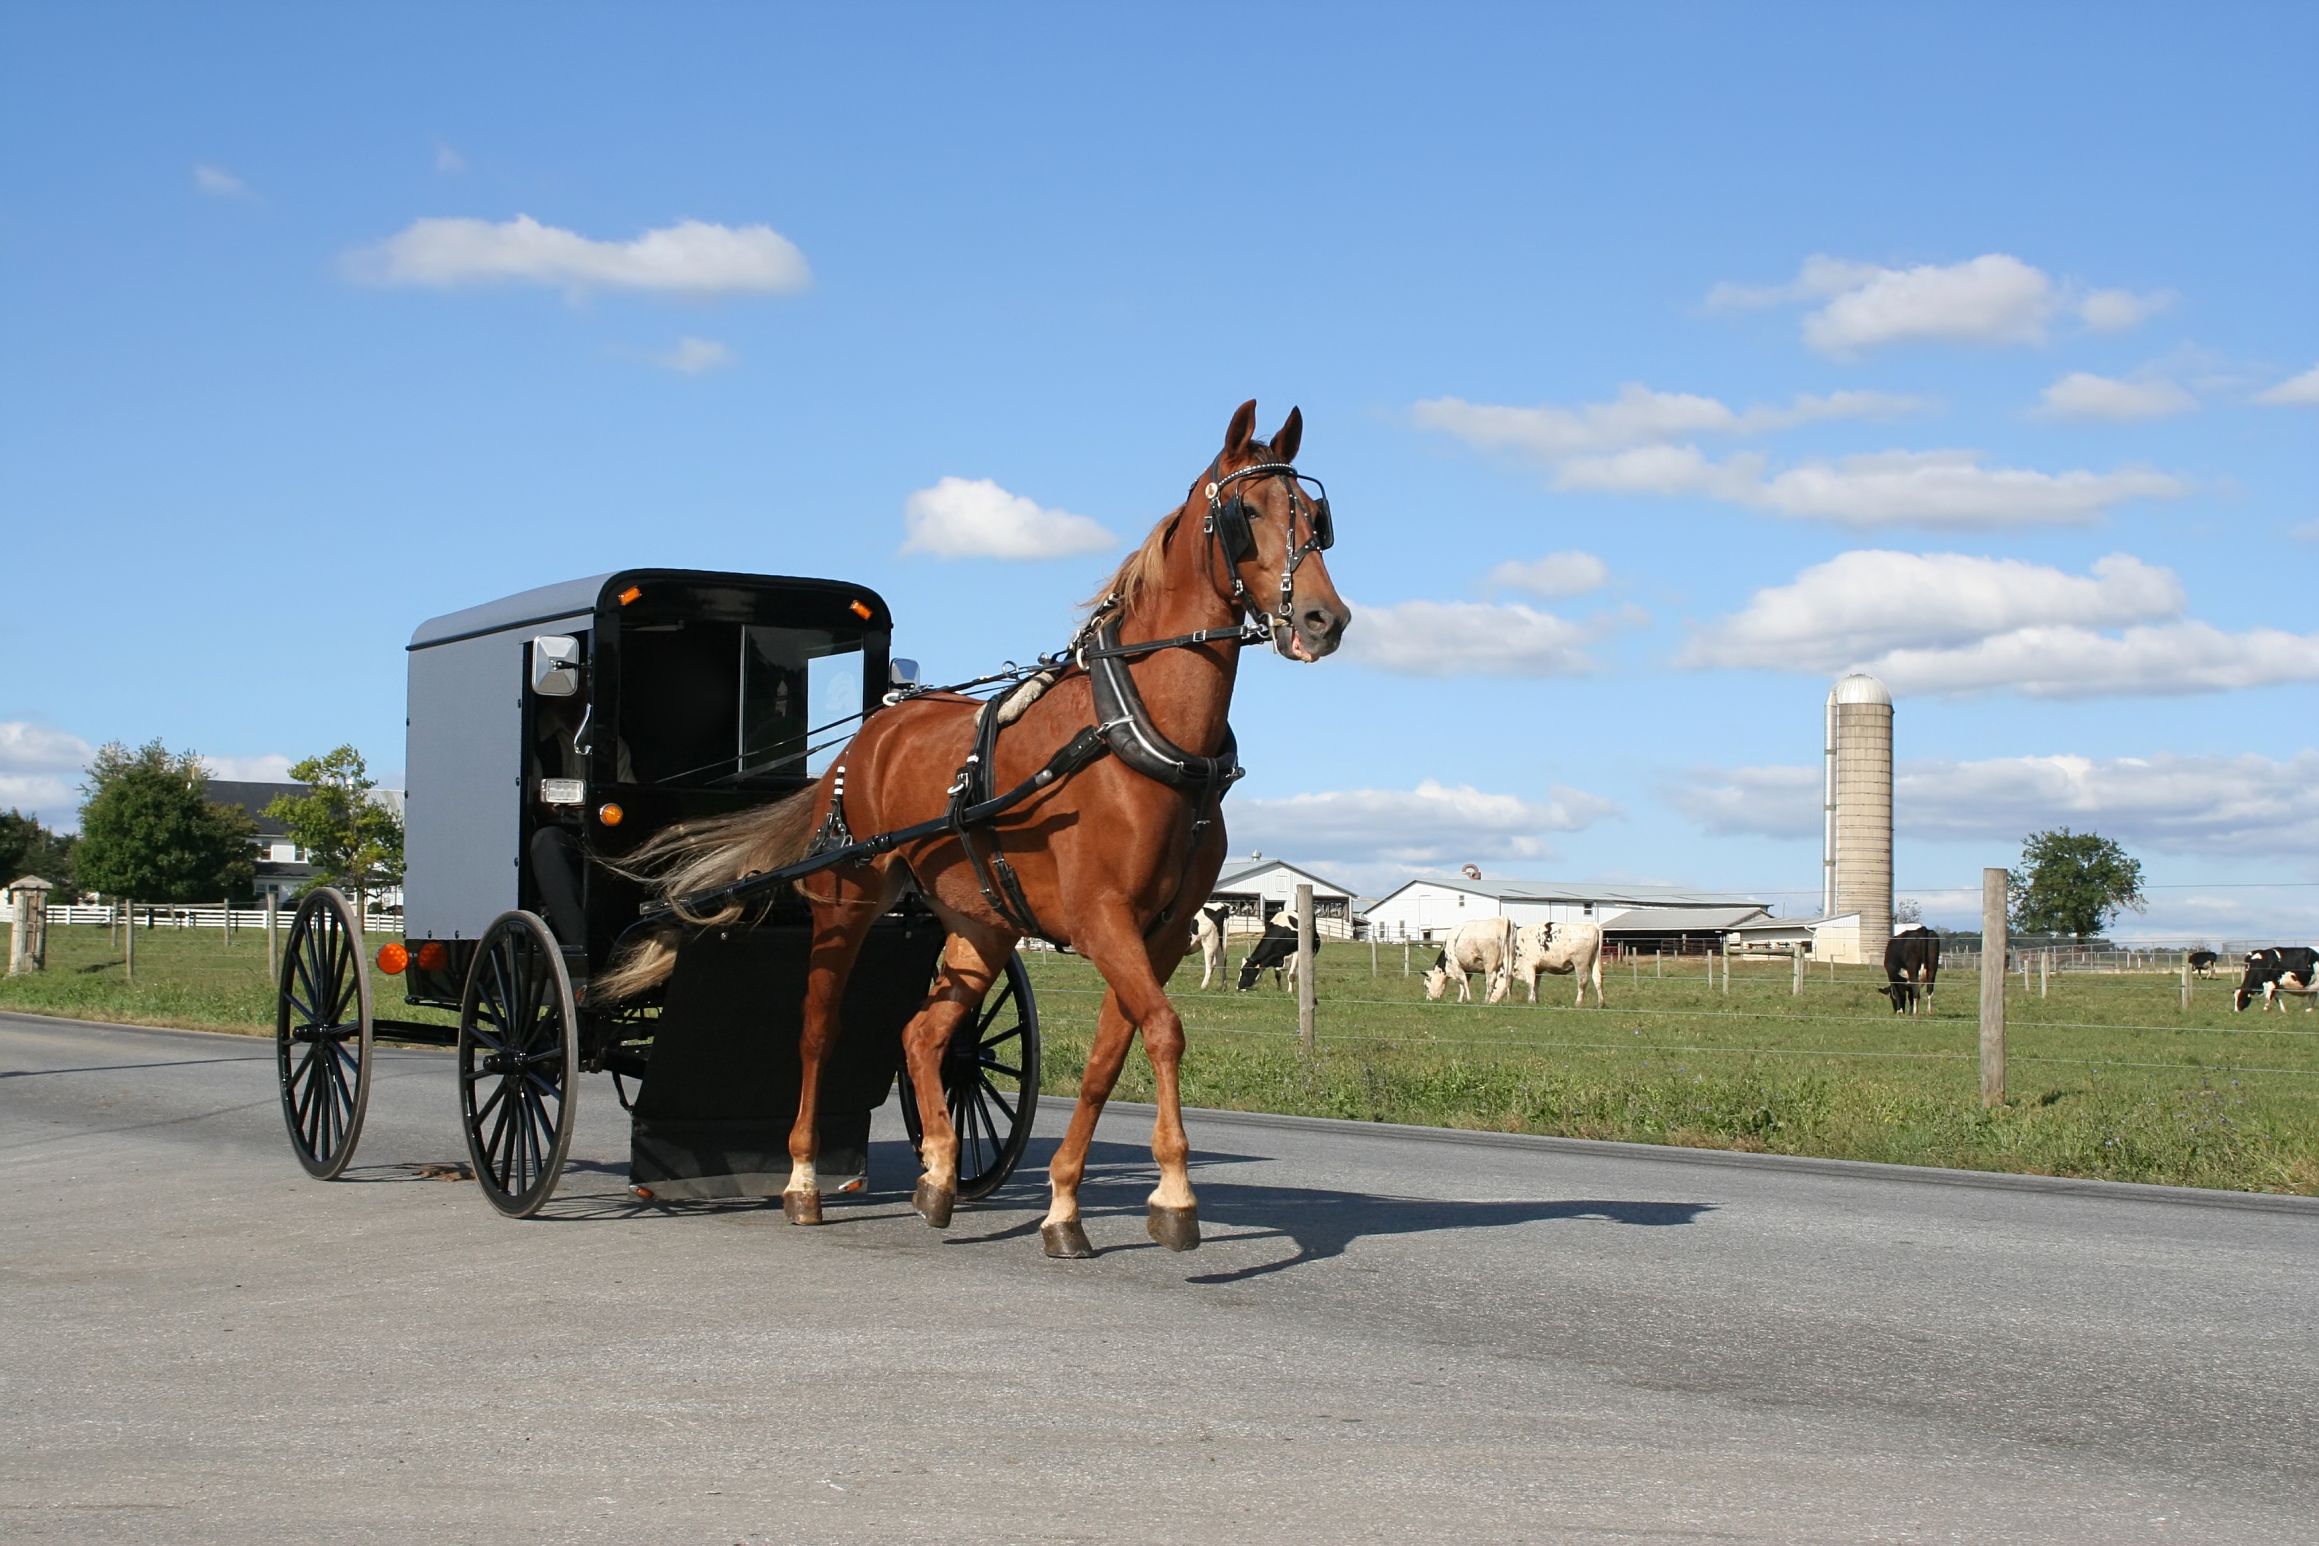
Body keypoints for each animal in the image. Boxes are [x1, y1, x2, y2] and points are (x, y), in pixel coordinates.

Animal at [602, 398, 1354, 1260]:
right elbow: (1163, 1031)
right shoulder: (1101, 917)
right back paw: (801, 1181)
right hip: (846, 904)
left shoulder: (1158, 932)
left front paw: (1062, 1204)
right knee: (818, 1031)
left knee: (923, 1033)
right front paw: (1173, 1194)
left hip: (979, 921)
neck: (1139, 735)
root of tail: (866, 736)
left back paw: (937, 1174)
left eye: (1315, 519)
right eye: (1247, 513)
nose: (1324, 618)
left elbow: (1110, 1054)